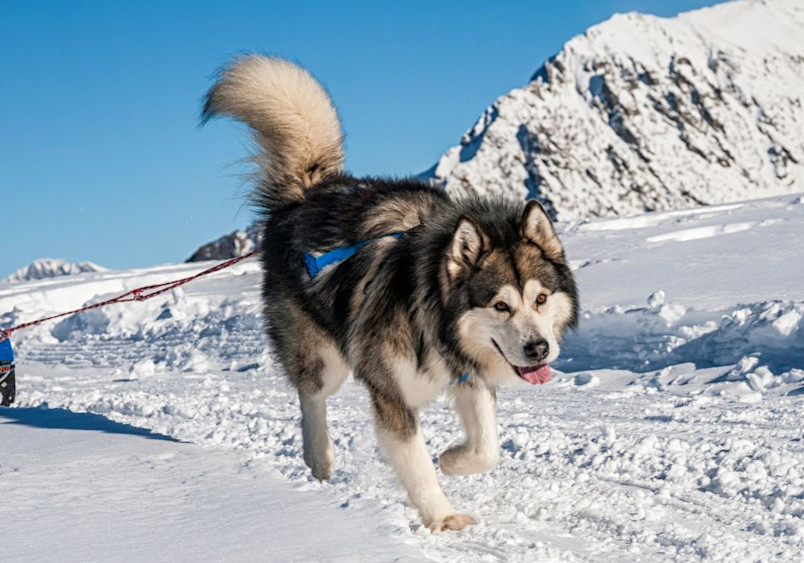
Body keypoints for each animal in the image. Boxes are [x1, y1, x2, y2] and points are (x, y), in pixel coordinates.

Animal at [201, 55, 576, 532]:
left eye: (541, 299)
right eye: (500, 305)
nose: (539, 349)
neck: (431, 313)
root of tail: (307, 194)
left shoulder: (467, 371)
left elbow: (487, 447)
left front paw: (453, 459)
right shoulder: (391, 393)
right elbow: (416, 462)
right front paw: (442, 517)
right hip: (325, 358)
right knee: (312, 396)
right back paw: (319, 458)